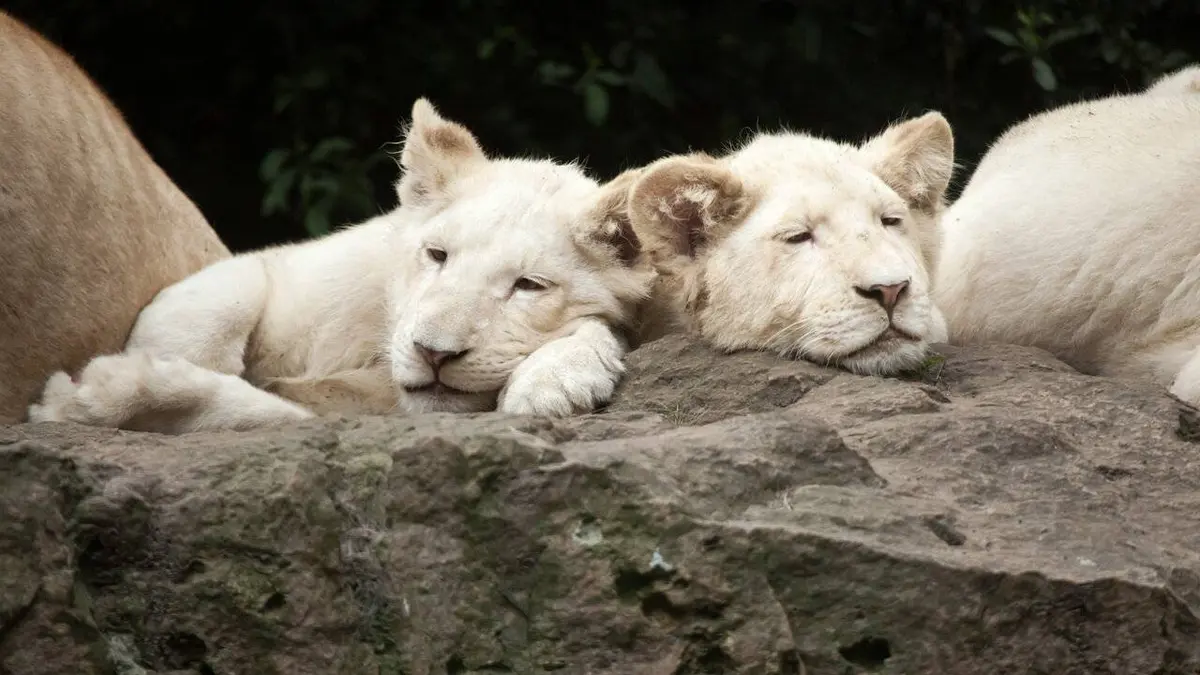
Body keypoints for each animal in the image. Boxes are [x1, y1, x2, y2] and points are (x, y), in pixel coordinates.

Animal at [27, 97, 655, 433]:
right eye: (437, 255)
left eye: (528, 286)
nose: (433, 354)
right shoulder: (274, 267)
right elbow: (215, 318)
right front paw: (93, 393)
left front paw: (555, 381)